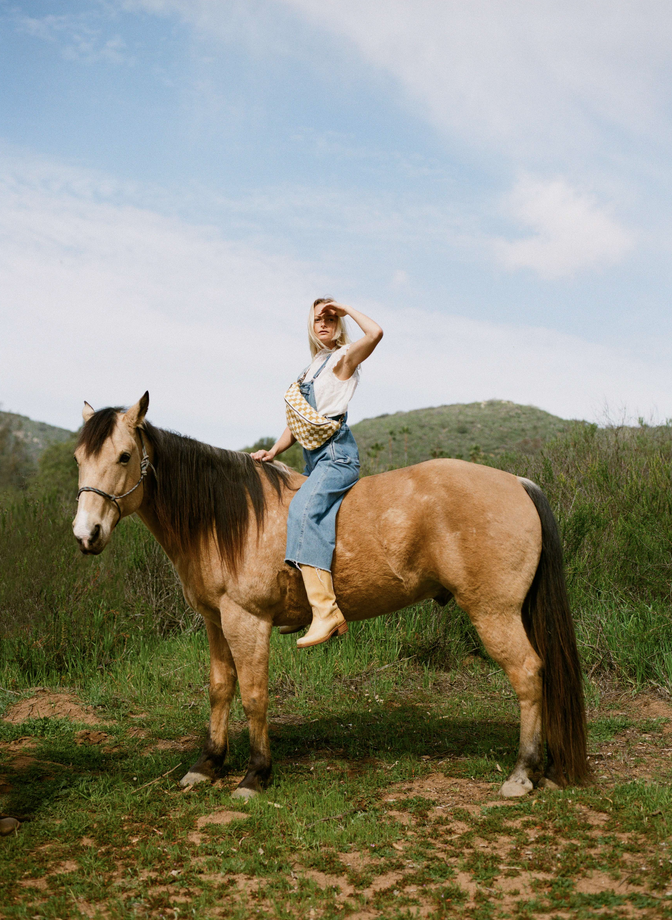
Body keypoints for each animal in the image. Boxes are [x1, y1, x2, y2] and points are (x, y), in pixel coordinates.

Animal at [72, 392, 588, 800]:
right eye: (78, 458)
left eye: (124, 456)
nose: (86, 534)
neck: (227, 517)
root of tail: (516, 483)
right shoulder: (215, 621)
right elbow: (220, 689)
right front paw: (208, 765)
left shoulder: (247, 620)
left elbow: (254, 695)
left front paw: (255, 775)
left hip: (494, 613)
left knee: (528, 675)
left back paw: (522, 774)